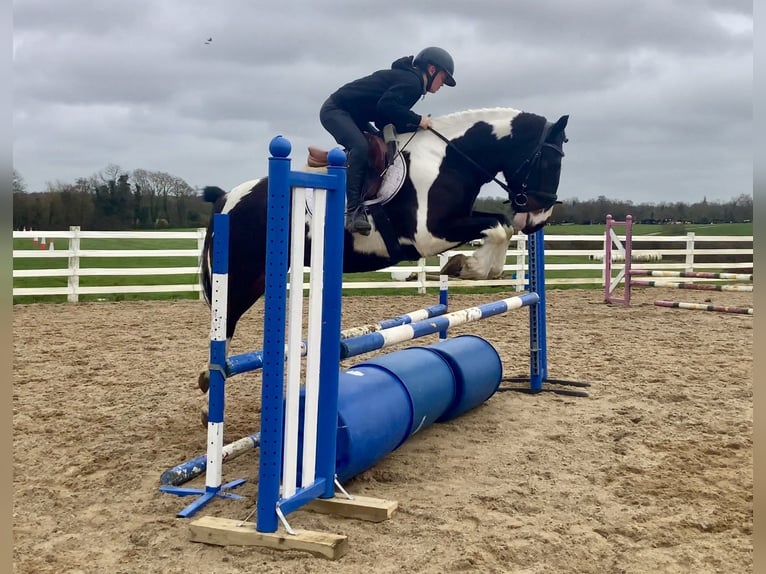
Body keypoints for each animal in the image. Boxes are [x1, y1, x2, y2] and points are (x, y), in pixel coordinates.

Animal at [197, 107, 568, 392]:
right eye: (550, 163)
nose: (537, 221)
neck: (448, 159)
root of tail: (227, 198)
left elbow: (501, 228)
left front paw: (464, 265)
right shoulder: (429, 234)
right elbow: (499, 226)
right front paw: (465, 266)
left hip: (258, 278)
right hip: (240, 277)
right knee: (224, 328)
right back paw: (208, 394)